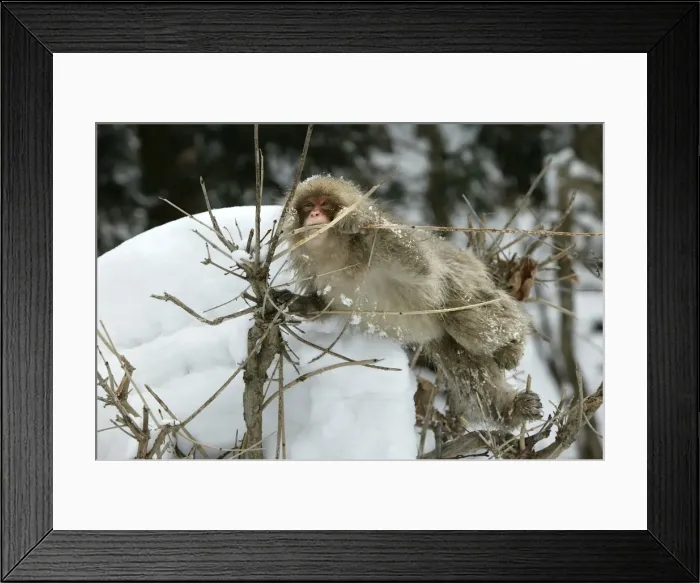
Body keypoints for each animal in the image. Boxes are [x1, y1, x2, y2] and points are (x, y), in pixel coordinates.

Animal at [271, 174, 543, 430]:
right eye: (308, 205)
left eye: (325, 204)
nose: (315, 214)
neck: (338, 255)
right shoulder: (312, 270)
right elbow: (323, 308)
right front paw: (291, 301)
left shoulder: (381, 252)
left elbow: (421, 265)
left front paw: (355, 220)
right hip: (443, 338)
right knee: (466, 367)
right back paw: (511, 409)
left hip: (470, 282)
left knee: (462, 317)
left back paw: (513, 343)